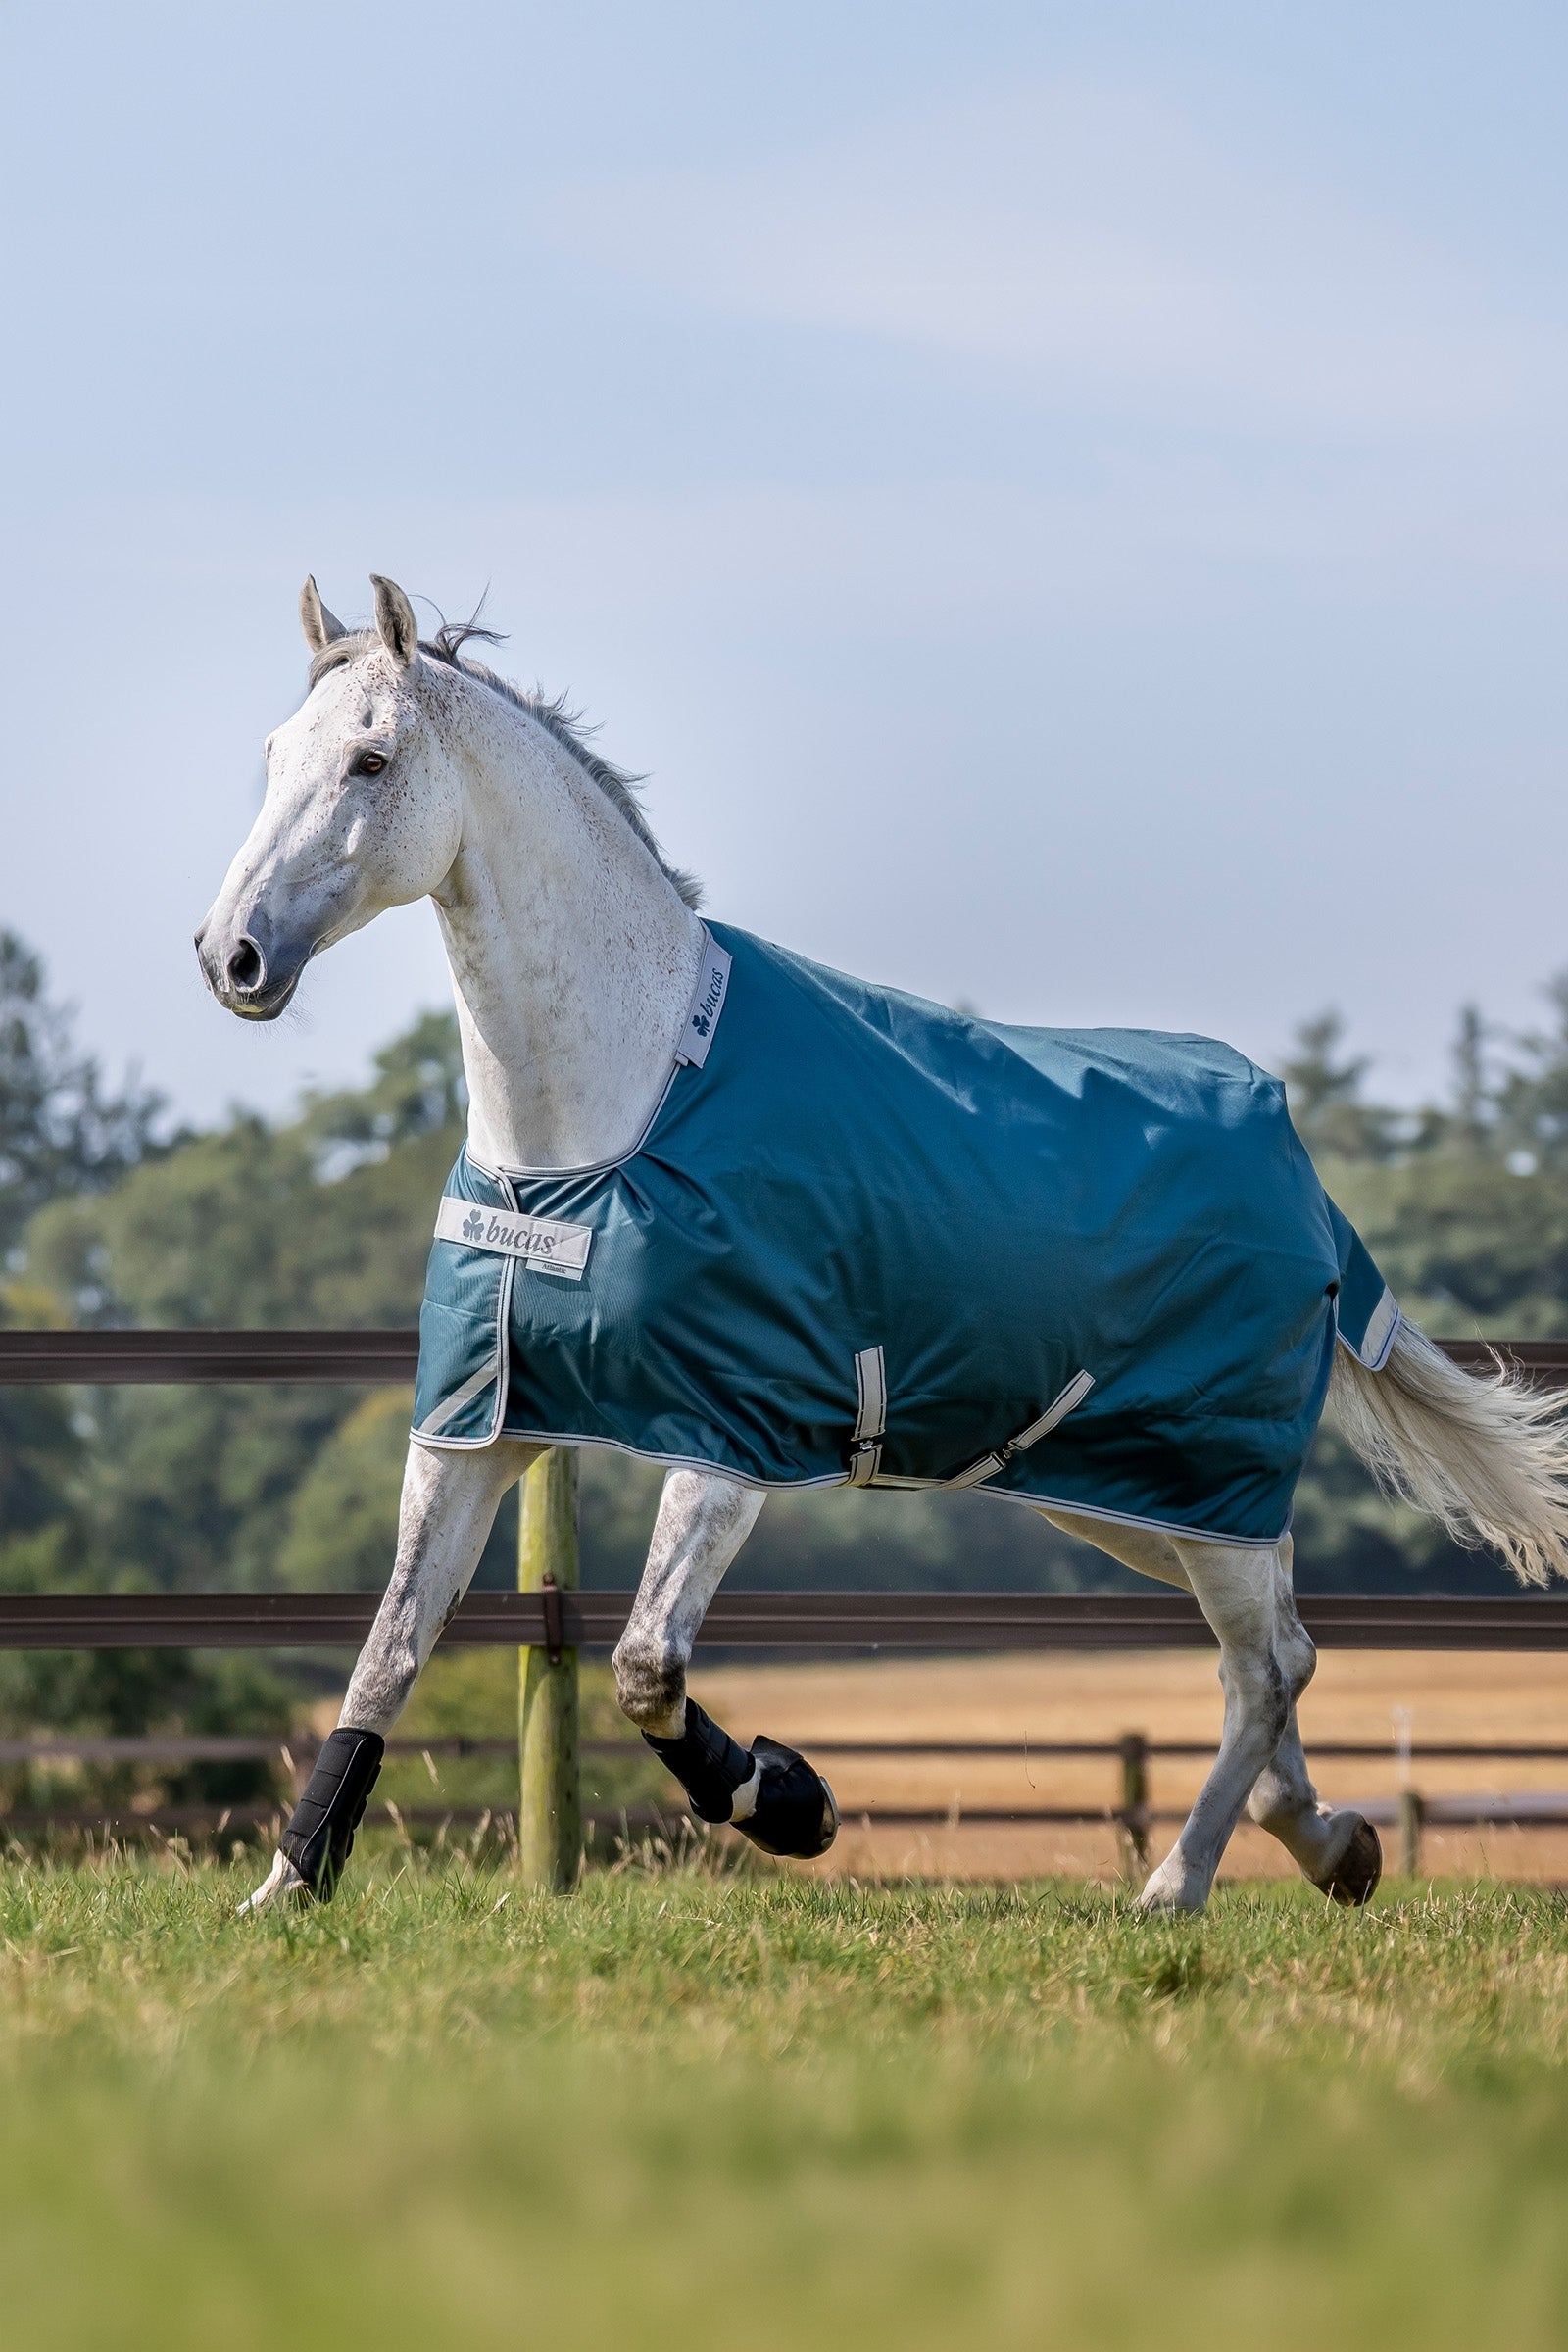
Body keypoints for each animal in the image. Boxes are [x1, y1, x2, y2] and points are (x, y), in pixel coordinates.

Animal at [196, 574, 1568, 1915]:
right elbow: (384, 1658)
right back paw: (1330, 1844)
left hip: (1193, 1471)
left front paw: (792, 1805)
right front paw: (286, 1890)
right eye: (270, 754)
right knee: (1271, 1651)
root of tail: (1301, 1175)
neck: (606, 1126)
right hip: (1130, 1489)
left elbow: (643, 1667)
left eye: (371, 760)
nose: (232, 958)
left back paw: (1174, 1889)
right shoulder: (475, 1432)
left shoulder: (726, 1445)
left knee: (1268, 1661)